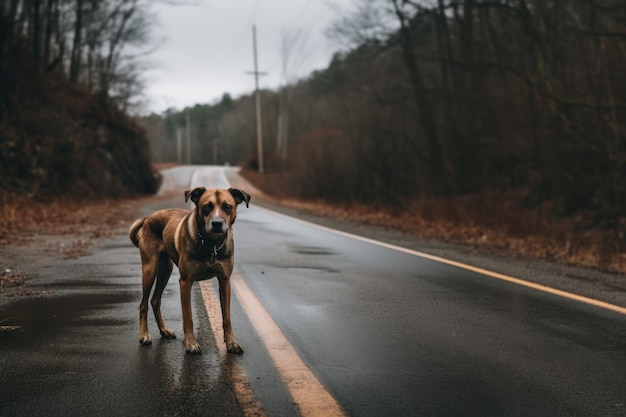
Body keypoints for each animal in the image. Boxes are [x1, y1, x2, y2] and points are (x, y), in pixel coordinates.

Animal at [128, 187, 250, 352]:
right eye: (206, 206)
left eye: (227, 206)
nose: (217, 223)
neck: (211, 244)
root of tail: (148, 218)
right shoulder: (185, 282)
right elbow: (188, 317)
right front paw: (191, 343)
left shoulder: (225, 281)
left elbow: (227, 317)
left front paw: (231, 342)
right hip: (149, 269)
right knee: (143, 304)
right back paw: (144, 335)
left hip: (165, 270)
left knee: (155, 300)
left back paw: (164, 330)